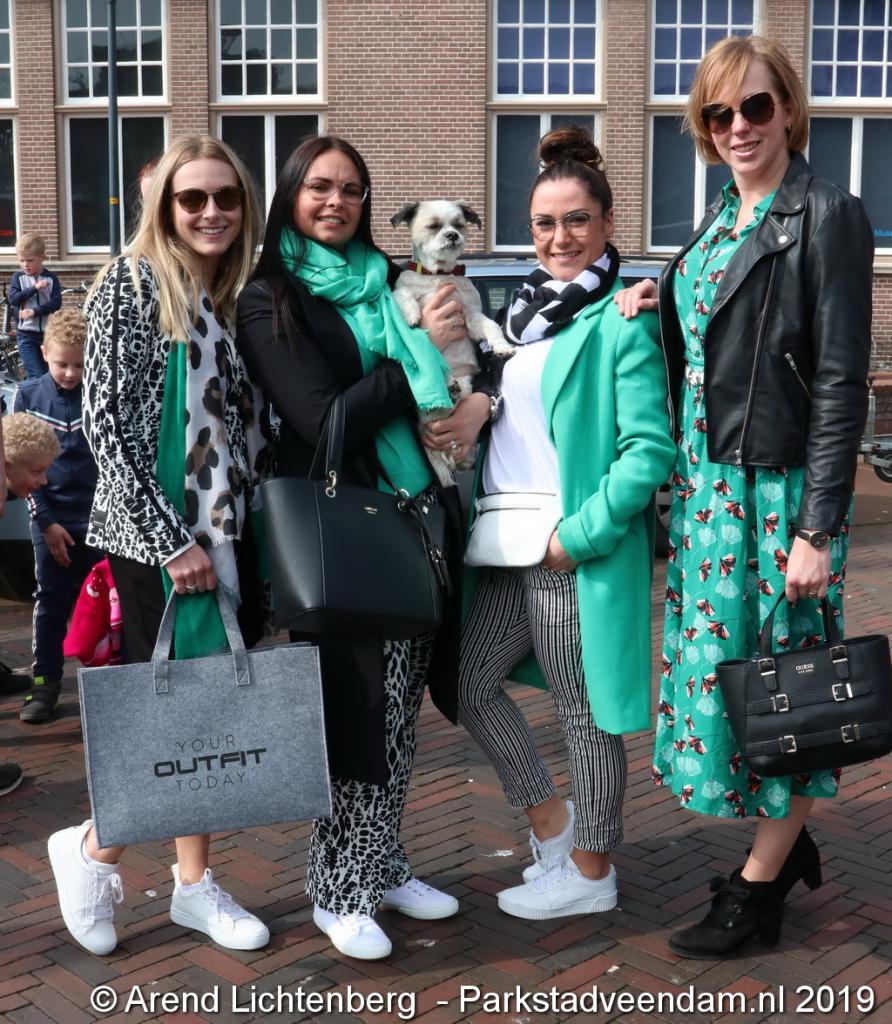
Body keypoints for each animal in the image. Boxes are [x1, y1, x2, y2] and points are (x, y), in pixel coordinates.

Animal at [390, 200, 513, 485]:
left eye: (458, 225)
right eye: (433, 226)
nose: (452, 236)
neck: (439, 275)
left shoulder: (470, 315)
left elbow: (490, 326)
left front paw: (501, 346)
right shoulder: (400, 289)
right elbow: (402, 293)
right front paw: (412, 314)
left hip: (465, 381)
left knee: (453, 401)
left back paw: (452, 392)